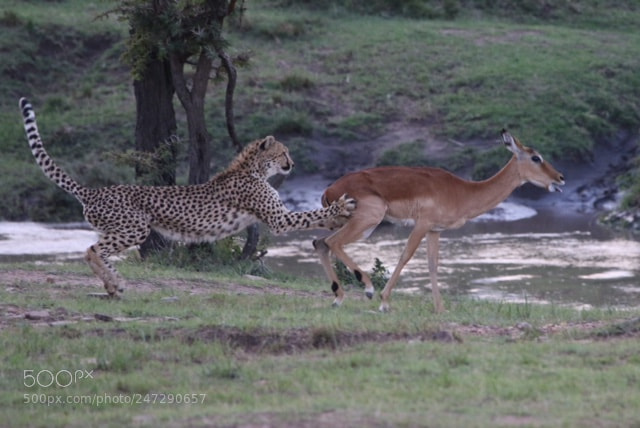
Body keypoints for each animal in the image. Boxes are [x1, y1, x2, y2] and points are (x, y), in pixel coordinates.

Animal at [19, 97, 356, 297]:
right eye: (283, 152)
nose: (292, 164)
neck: (255, 170)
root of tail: (95, 190)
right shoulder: (278, 219)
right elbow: (308, 215)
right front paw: (340, 206)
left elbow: (314, 219)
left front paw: (339, 216)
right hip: (134, 228)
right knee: (91, 250)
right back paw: (114, 283)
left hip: (121, 229)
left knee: (97, 251)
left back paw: (114, 284)